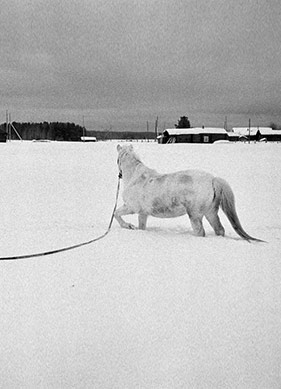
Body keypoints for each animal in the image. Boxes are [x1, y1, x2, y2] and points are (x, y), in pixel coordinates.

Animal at [114, 143, 262, 239]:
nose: (119, 174)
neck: (135, 177)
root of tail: (212, 179)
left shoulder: (131, 208)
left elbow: (116, 213)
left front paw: (128, 226)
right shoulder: (143, 213)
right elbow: (141, 226)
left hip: (195, 214)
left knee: (200, 232)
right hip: (210, 212)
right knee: (219, 229)